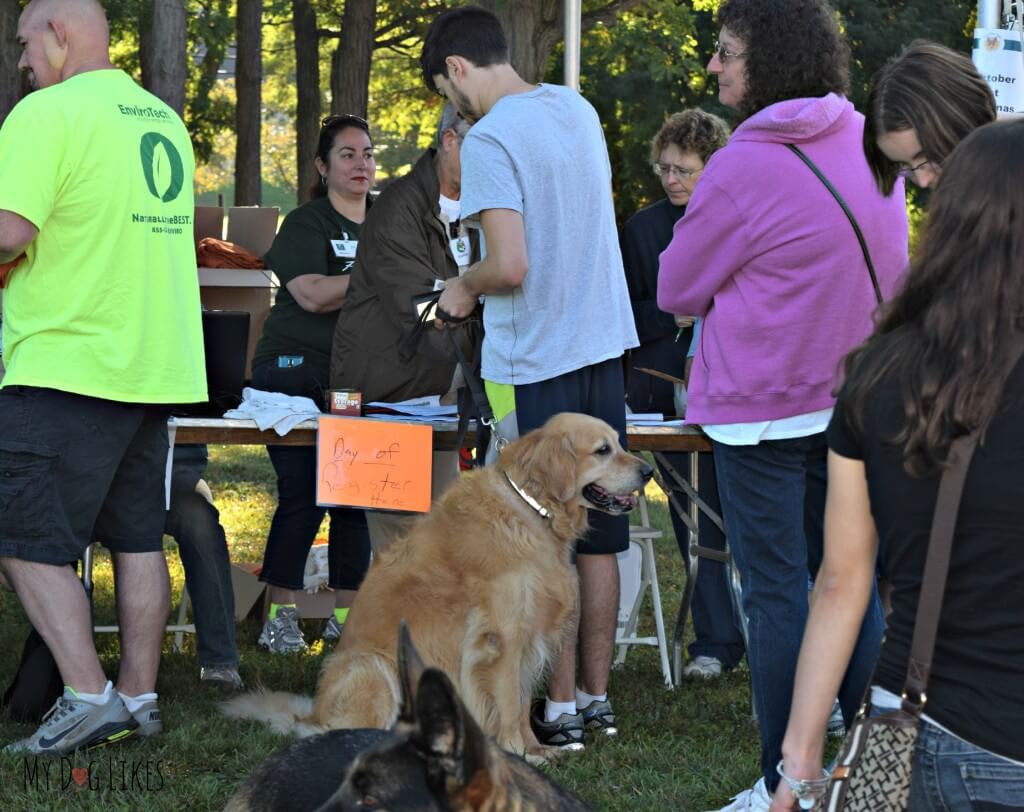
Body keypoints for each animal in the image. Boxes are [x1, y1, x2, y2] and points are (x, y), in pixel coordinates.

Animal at [226, 411, 655, 761]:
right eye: (602, 450)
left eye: (619, 443)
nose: (648, 471)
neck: (532, 509)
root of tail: (311, 714)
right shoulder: (503, 639)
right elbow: (508, 703)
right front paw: (518, 754)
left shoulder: (530, 637)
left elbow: (519, 705)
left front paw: (537, 749)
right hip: (371, 666)